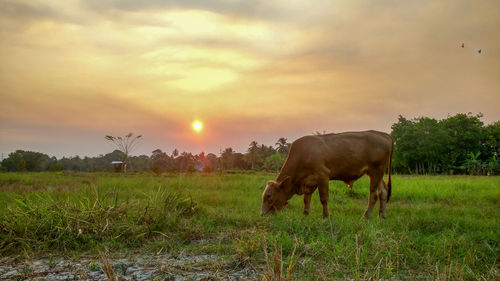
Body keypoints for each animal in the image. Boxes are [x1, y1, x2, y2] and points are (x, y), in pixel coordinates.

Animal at [260, 130, 392, 218]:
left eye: (269, 195)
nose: (262, 214)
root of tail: (383, 134)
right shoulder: (309, 182)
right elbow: (306, 199)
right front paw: (305, 214)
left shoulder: (322, 176)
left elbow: (324, 199)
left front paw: (326, 216)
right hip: (377, 174)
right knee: (383, 192)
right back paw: (382, 216)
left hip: (376, 171)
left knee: (374, 194)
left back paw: (366, 216)